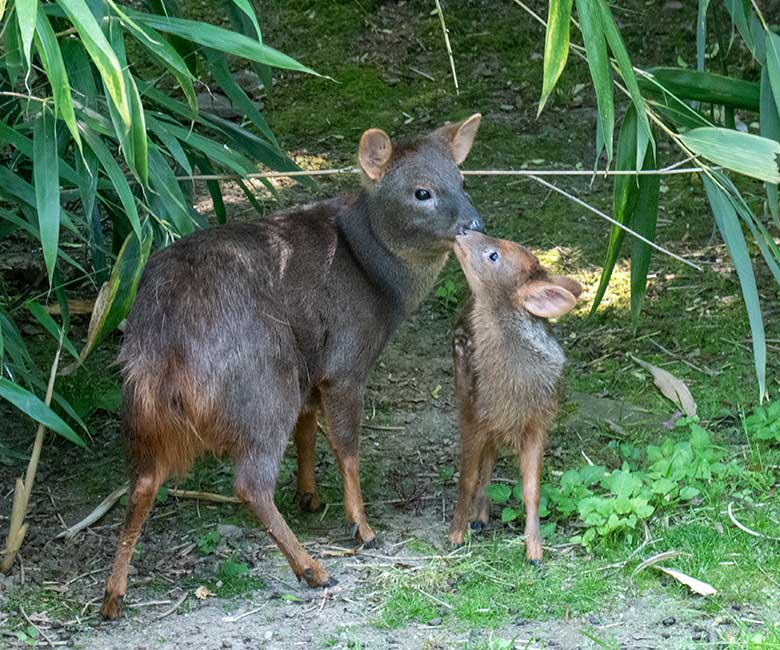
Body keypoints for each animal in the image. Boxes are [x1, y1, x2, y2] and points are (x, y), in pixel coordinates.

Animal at [100, 114, 484, 616]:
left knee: (142, 481)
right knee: (249, 482)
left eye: (462, 179)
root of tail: (163, 343)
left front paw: (309, 495)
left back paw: (113, 594)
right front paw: (361, 527)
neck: (377, 283)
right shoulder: (345, 358)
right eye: (422, 192)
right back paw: (313, 569)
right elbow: (346, 445)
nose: (474, 224)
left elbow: (307, 427)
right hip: (263, 382)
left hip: (146, 411)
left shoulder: (312, 365)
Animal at [448, 232, 580, 560]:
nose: (463, 232)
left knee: (491, 457)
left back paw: (481, 517)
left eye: (493, 256)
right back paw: (477, 518)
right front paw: (455, 535)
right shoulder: (473, 414)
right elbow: (466, 478)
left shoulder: (538, 422)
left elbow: (532, 489)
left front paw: (535, 550)